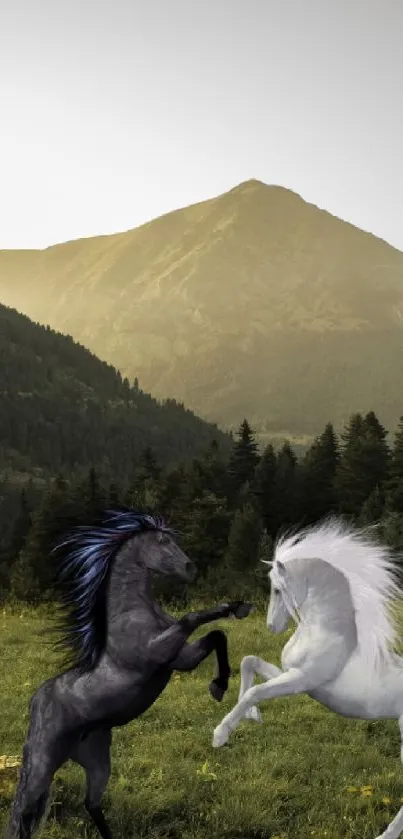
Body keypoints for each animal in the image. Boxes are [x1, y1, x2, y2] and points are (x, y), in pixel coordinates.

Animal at [5, 508, 252, 836]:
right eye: (162, 542)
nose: (190, 569)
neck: (135, 612)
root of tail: (35, 702)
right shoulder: (156, 652)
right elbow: (192, 617)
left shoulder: (179, 659)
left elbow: (217, 635)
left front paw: (220, 683)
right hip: (44, 760)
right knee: (23, 809)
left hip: (97, 759)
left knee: (91, 803)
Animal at [215, 520, 403, 839]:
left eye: (278, 590)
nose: (272, 626)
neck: (324, 631)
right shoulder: (295, 678)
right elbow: (249, 662)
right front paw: (253, 716)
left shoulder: (301, 680)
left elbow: (256, 691)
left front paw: (220, 734)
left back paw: (385, 835)